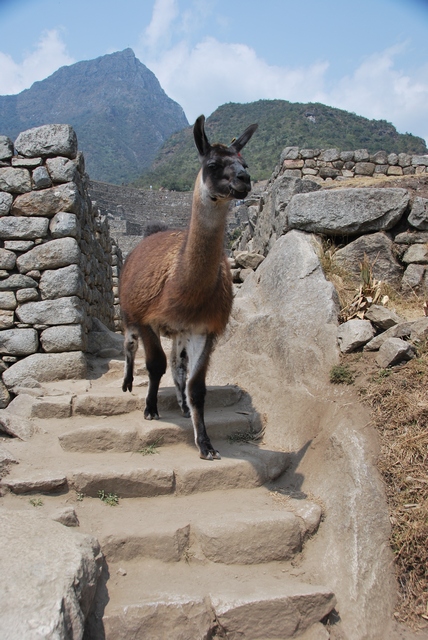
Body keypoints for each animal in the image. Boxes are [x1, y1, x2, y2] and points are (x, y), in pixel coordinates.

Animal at [119, 115, 258, 460]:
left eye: (244, 162)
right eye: (212, 164)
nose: (245, 180)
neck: (180, 287)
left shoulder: (203, 328)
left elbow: (196, 387)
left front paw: (206, 445)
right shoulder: (147, 319)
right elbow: (154, 365)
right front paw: (150, 409)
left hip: (178, 331)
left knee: (178, 366)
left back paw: (181, 406)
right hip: (128, 311)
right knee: (130, 346)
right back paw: (127, 383)